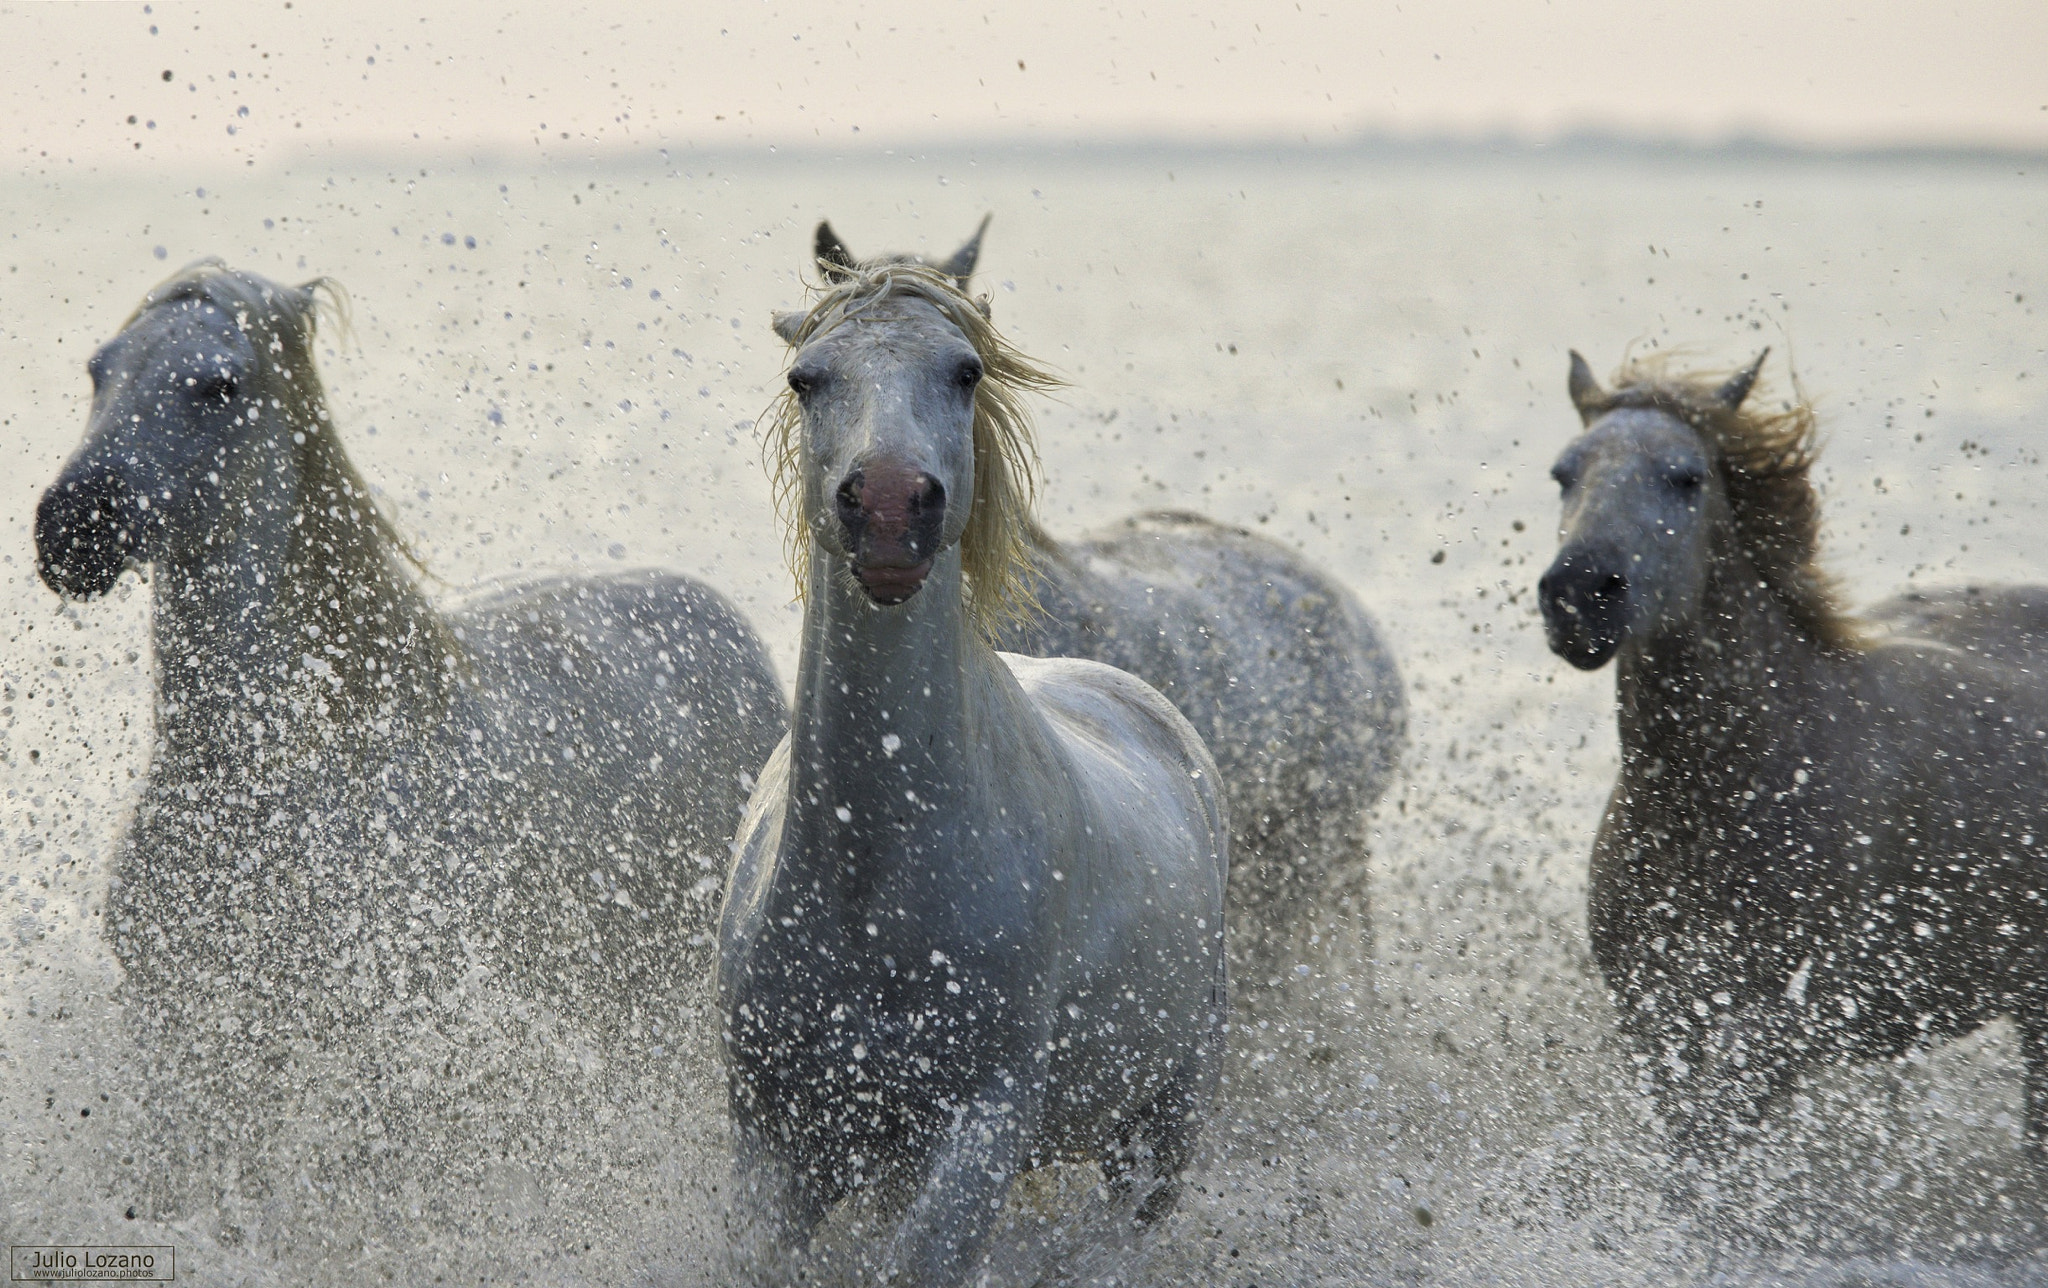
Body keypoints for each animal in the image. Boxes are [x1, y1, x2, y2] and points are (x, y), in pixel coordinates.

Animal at [34, 264, 782, 1212]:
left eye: (218, 386)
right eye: (100, 370)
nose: (70, 528)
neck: (277, 773)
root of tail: (728, 627)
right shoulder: (183, 1036)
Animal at [720, 264, 1220, 1285]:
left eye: (965, 371)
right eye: (806, 378)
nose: (886, 505)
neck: (875, 877)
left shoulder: (981, 1129)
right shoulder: (779, 1141)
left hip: (1160, 1126)